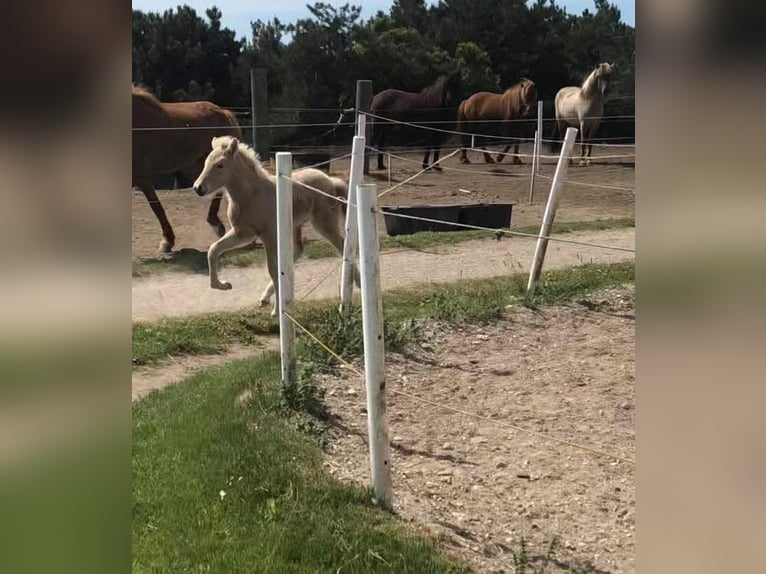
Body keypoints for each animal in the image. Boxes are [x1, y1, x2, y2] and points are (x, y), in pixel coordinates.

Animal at [130, 86, 242, 254]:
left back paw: (217, 225)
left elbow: (156, 207)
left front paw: (167, 242)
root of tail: (224, 112)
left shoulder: (140, 176)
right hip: (194, 168)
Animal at [194, 139, 358, 318]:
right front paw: (223, 285)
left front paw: (278, 310)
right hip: (295, 225)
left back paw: (357, 285)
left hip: (323, 224)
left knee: (342, 246)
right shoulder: (243, 233)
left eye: (220, 165)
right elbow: (213, 250)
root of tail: (331, 180)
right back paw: (266, 297)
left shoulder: (269, 235)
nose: (198, 188)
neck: (251, 195)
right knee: (298, 251)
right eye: (205, 163)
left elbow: (273, 269)